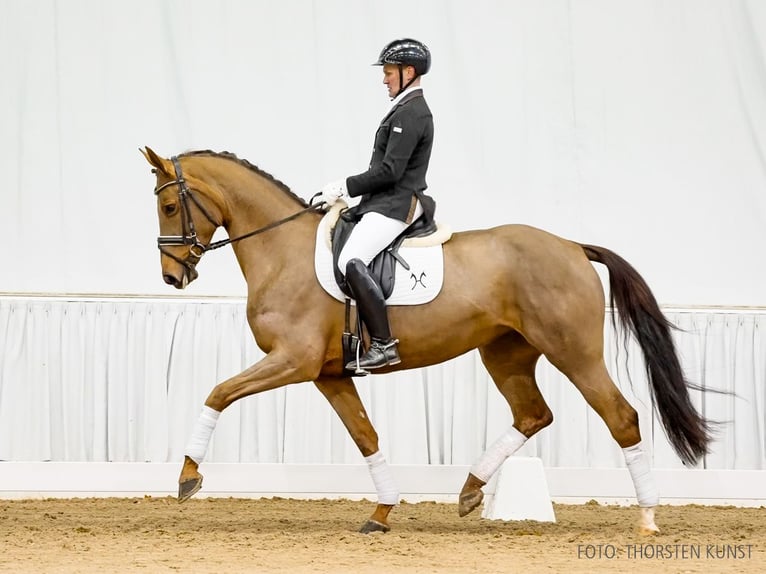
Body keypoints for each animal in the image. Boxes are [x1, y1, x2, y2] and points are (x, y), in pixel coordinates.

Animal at [141, 147, 712, 536]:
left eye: (168, 206)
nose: (172, 276)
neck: (282, 250)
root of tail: (572, 246)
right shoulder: (328, 375)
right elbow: (367, 437)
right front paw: (382, 512)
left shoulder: (293, 361)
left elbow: (217, 392)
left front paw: (187, 478)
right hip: (505, 353)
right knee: (533, 415)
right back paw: (470, 491)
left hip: (575, 353)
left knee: (622, 418)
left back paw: (647, 519)